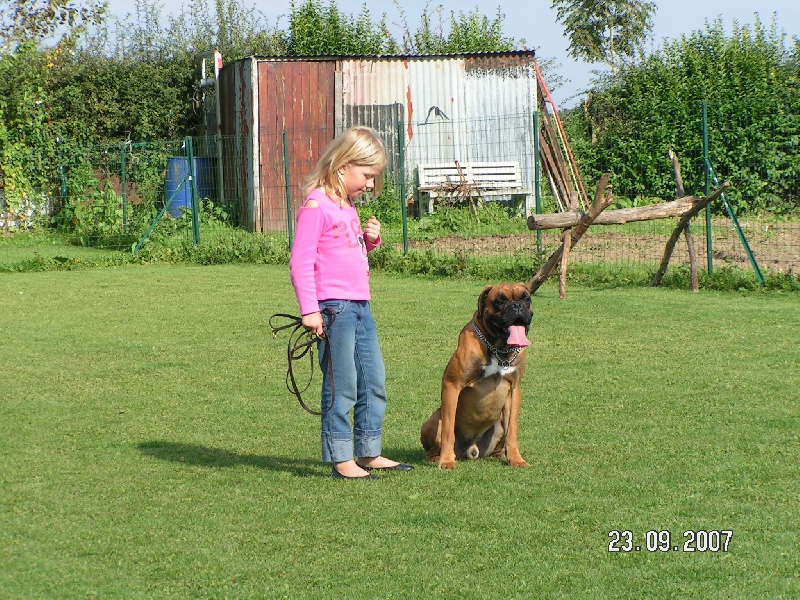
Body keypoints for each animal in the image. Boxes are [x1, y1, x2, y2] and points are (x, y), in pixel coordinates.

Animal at [420, 283, 533, 470]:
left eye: (526, 298)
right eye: (500, 301)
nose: (517, 306)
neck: (498, 348)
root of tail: (472, 449)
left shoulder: (514, 389)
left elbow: (512, 431)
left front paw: (516, 459)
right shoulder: (452, 385)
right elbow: (448, 431)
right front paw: (447, 461)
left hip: (499, 422)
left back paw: (502, 455)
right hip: (433, 420)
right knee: (433, 446)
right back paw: (438, 458)